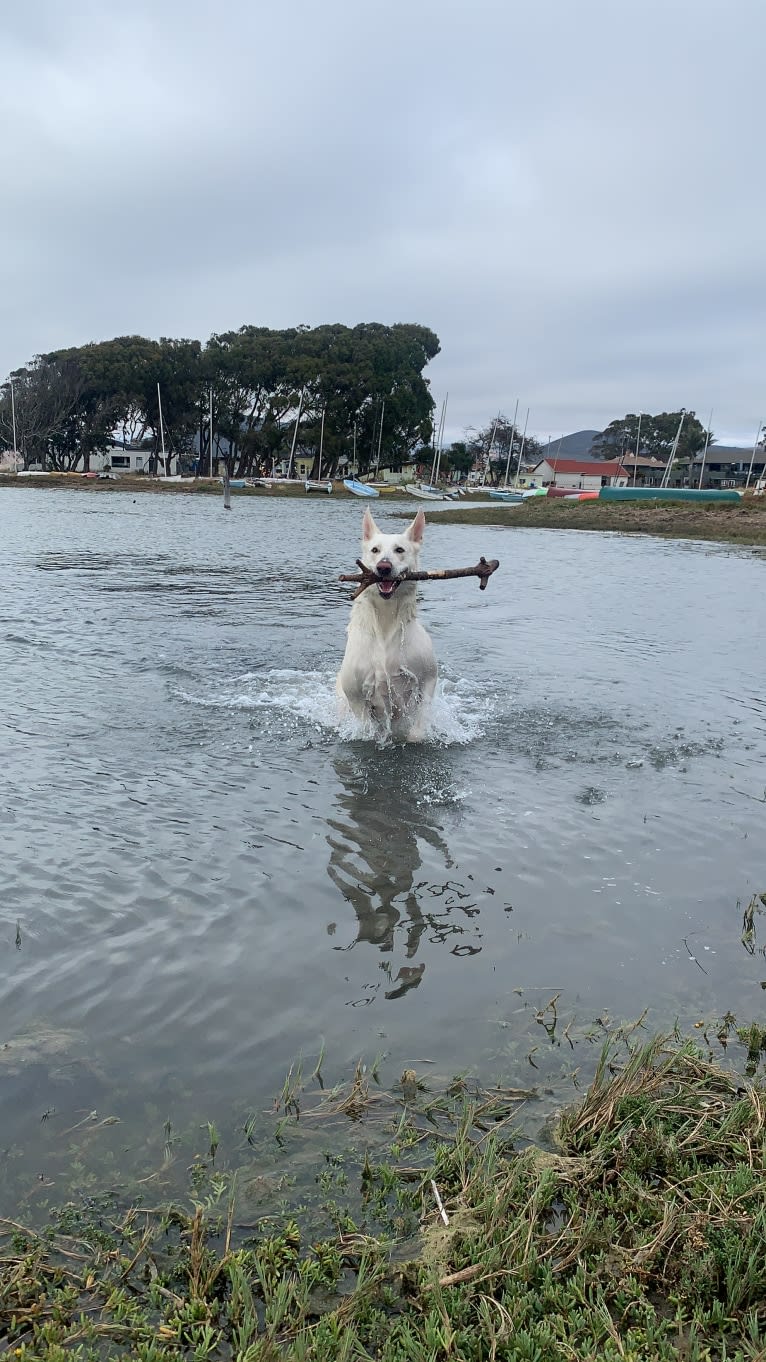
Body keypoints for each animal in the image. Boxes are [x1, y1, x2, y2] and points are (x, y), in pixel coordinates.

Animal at [335, 512, 436, 746]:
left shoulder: (428, 679)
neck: (385, 620)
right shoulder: (355, 695)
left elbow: (418, 729)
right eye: (375, 550)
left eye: (399, 550)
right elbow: (367, 728)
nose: (383, 567)